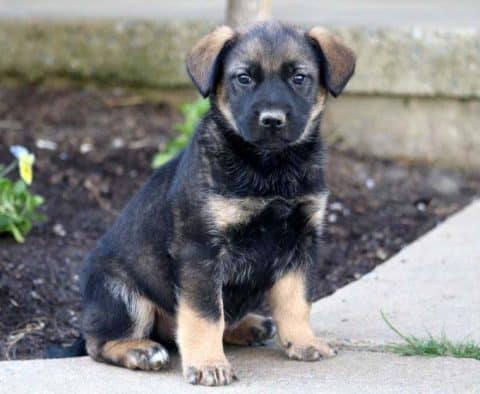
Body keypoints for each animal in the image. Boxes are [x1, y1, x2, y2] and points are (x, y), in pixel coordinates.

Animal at [79, 20, 356, 384]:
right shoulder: (201, 252)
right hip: (121, 294)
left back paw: (250, 325)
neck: (269, 168)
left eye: (299, 77)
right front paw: (209, 364)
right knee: (99, 343)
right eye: (244, 78)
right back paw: (140, 350)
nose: (272, 120)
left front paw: (303, 341)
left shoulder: (301, 240)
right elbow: (205, 314)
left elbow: (296, 301)